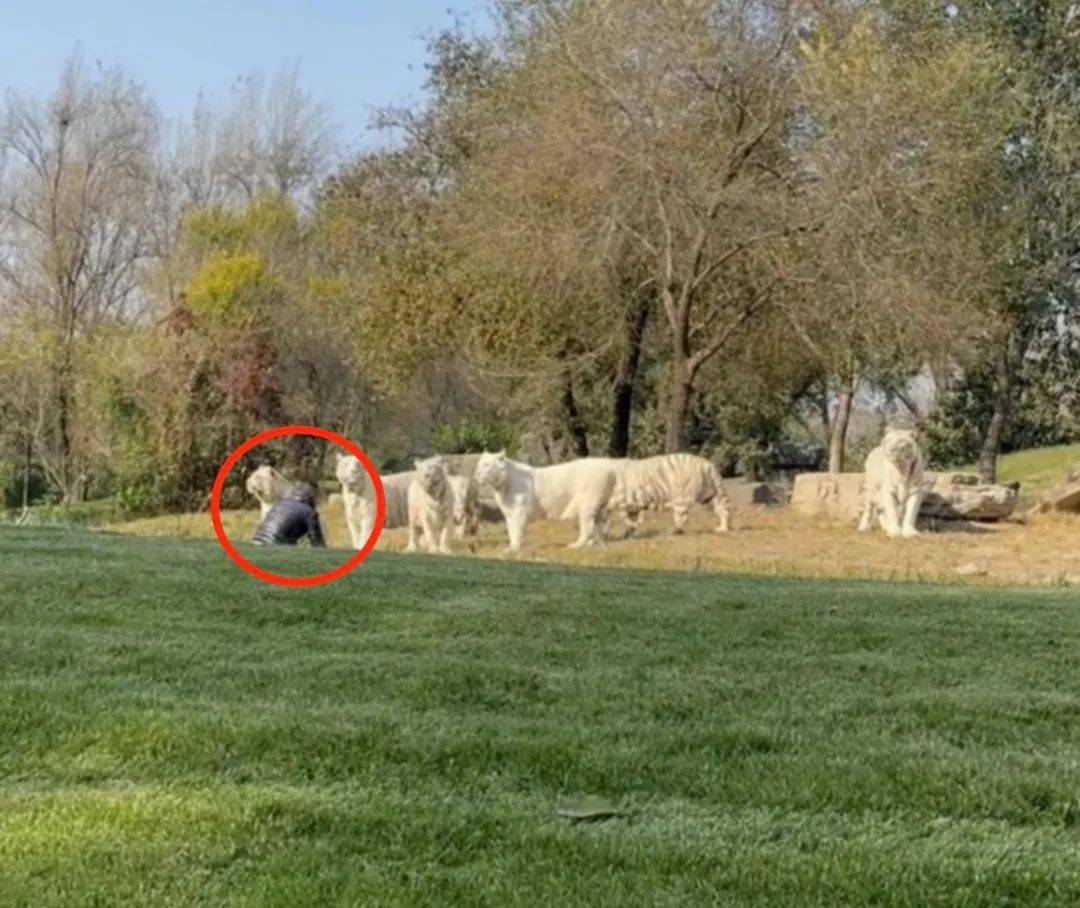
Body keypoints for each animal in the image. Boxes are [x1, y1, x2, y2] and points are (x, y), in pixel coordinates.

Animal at [475, 449, 617, 548]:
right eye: (479, 464)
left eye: (487, 465)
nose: (477, 473)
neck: (502, 485)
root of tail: (611, 470)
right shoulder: (509, 511)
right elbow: (510, 529)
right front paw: (512, 546)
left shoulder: (518, 511)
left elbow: (516, 528)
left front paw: (513, 548)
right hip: (599, 505)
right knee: (598, 524)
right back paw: (596, 544)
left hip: (587, 501)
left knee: (587, 525)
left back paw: (575, 545)